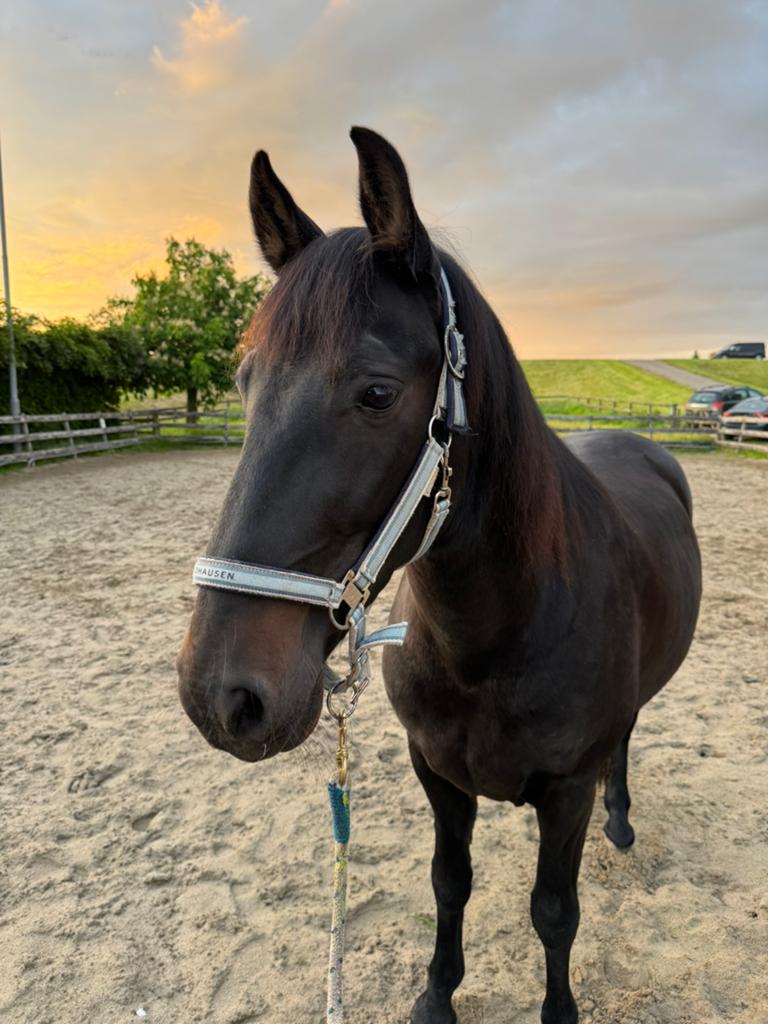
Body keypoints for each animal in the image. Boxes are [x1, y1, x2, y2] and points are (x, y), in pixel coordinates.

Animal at [177, 127, 702, 1024]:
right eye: (244, 385)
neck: (494, 640)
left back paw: (623, 822)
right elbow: (448, 884)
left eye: (377, 392)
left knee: (627, 743)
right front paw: (436, 996)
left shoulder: (566, 791)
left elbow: (555, 914)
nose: (221, 695)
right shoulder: (437, 774)